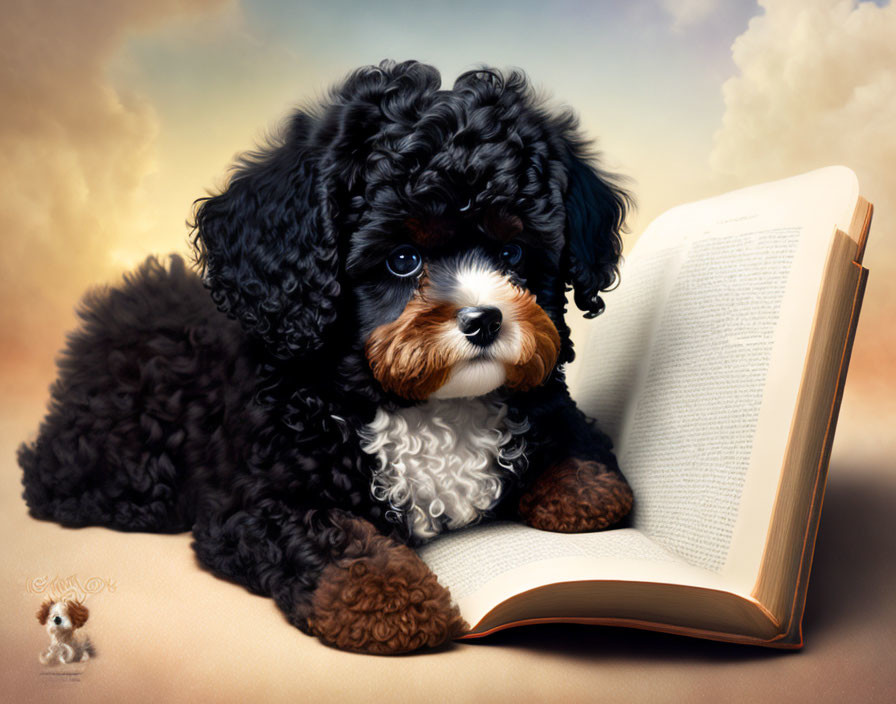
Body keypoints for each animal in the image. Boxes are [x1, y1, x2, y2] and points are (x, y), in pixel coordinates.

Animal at [22, 60, 636, 656]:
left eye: (511, 252)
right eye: (403, 260)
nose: (484, 320)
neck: (432, 407)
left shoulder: (552, 404)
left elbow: (580, 446)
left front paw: (584, 490)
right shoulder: (261, 496)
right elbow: (338, 538)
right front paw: (388, 603)